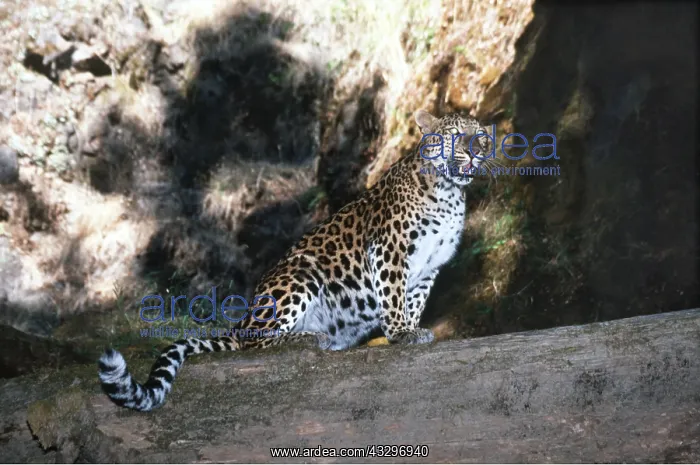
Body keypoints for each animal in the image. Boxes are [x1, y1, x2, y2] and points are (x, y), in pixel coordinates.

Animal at [98, 109, 492, 411]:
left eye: (481, 139)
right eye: (454, 135)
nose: (474, 153)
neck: (449, 193)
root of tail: (242, 319)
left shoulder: (429, 267)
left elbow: (414, 300)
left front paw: (412, 328)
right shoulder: (389, 249)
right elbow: (393, 297)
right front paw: (401, 333)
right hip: (300, 274)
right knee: (255, 341)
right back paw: (307, 338)